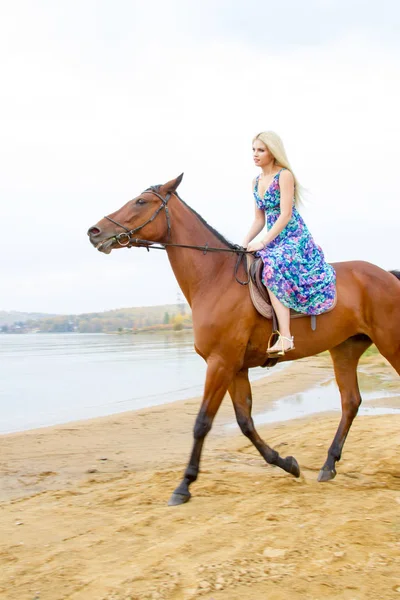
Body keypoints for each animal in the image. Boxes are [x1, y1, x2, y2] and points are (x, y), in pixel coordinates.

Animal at [87, 175, 400, 506]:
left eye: (140, 202)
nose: (94, 232)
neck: (215, 278)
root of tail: (387, 275)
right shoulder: (236, 368)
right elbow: (245, 422)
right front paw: (287, 463)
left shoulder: (220, 364)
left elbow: (202, 422)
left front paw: (184, 485)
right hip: (345, 350)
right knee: (350, 402)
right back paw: (328, 465)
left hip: (390, 344)